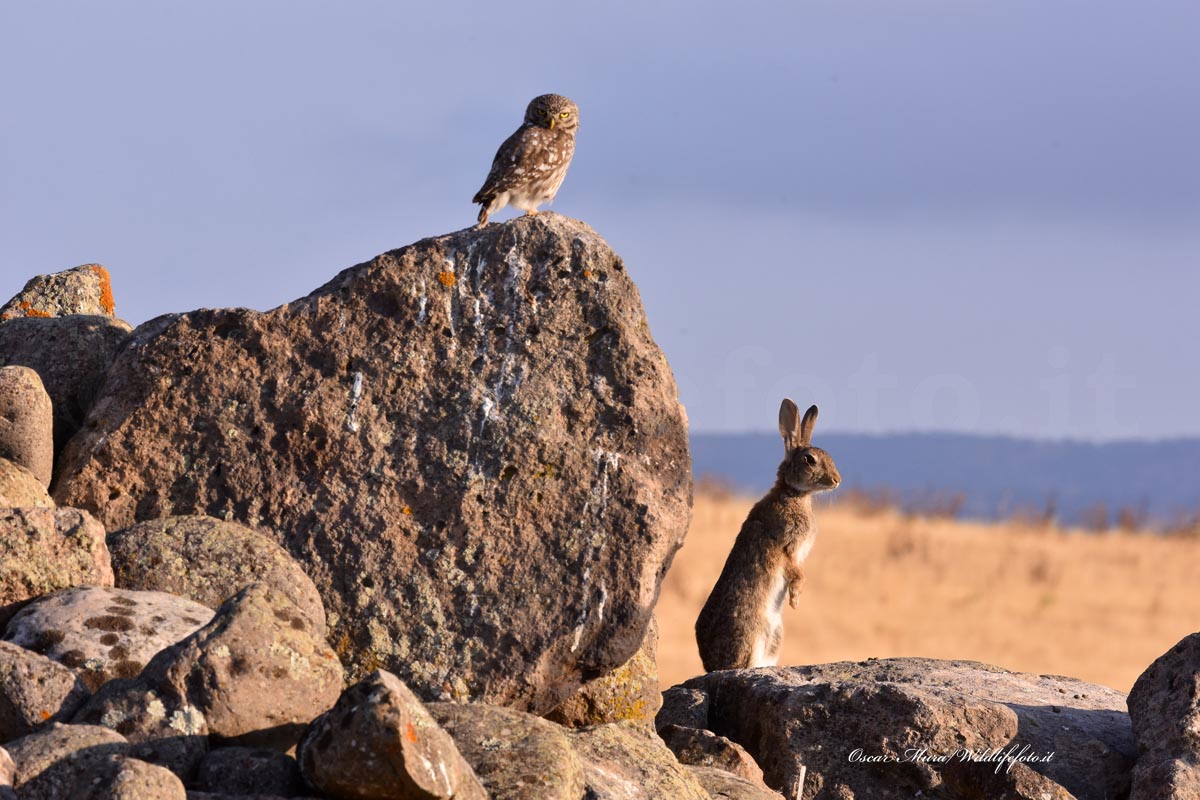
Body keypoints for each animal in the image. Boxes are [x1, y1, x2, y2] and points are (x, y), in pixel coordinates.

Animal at [695, 398, 841, 672]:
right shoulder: (786, 547)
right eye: (810, 460)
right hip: (753, 632)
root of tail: (711, 664)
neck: (793, 493)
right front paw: (795, 601)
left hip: (775, 635)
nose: (837, 480)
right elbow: (797, 573)